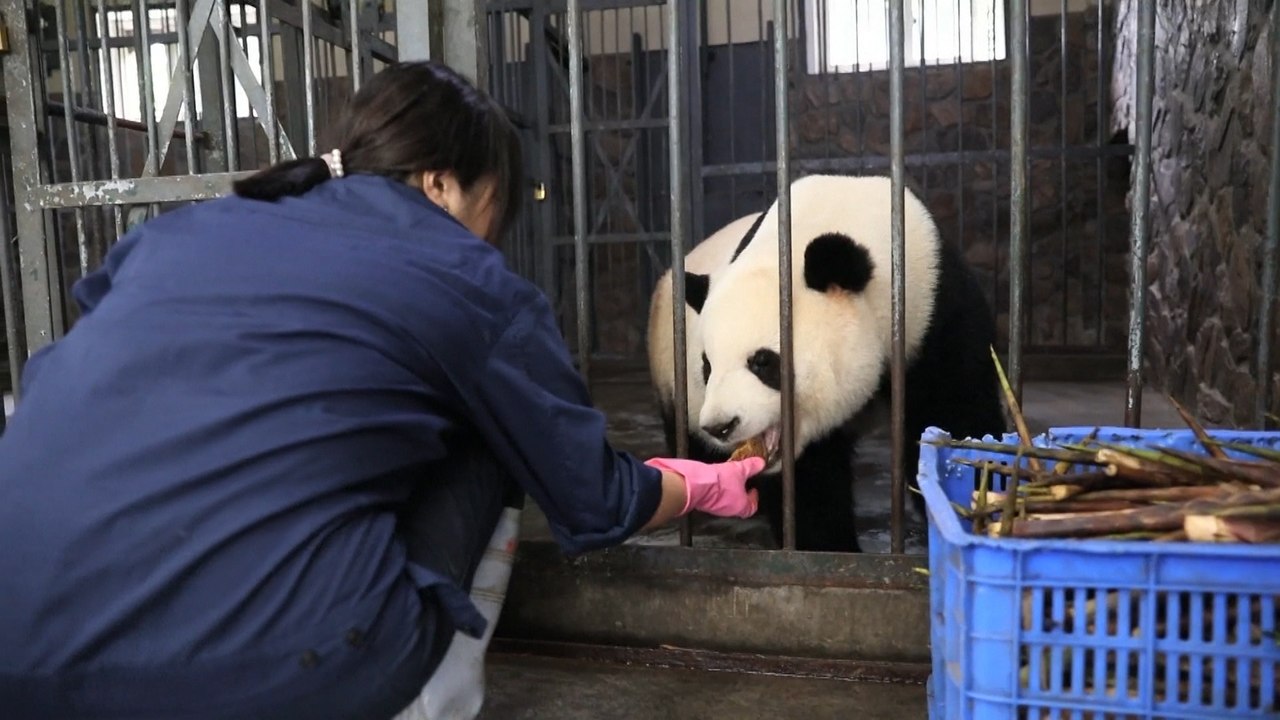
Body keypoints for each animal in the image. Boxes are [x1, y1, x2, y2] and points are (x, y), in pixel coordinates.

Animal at [646, 174, 1007, 553]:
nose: (721, 426)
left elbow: (957, 415)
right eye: (706, 366)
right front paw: (830, 546)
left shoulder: (935, 312)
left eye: (762, 362)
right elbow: (811, 483)